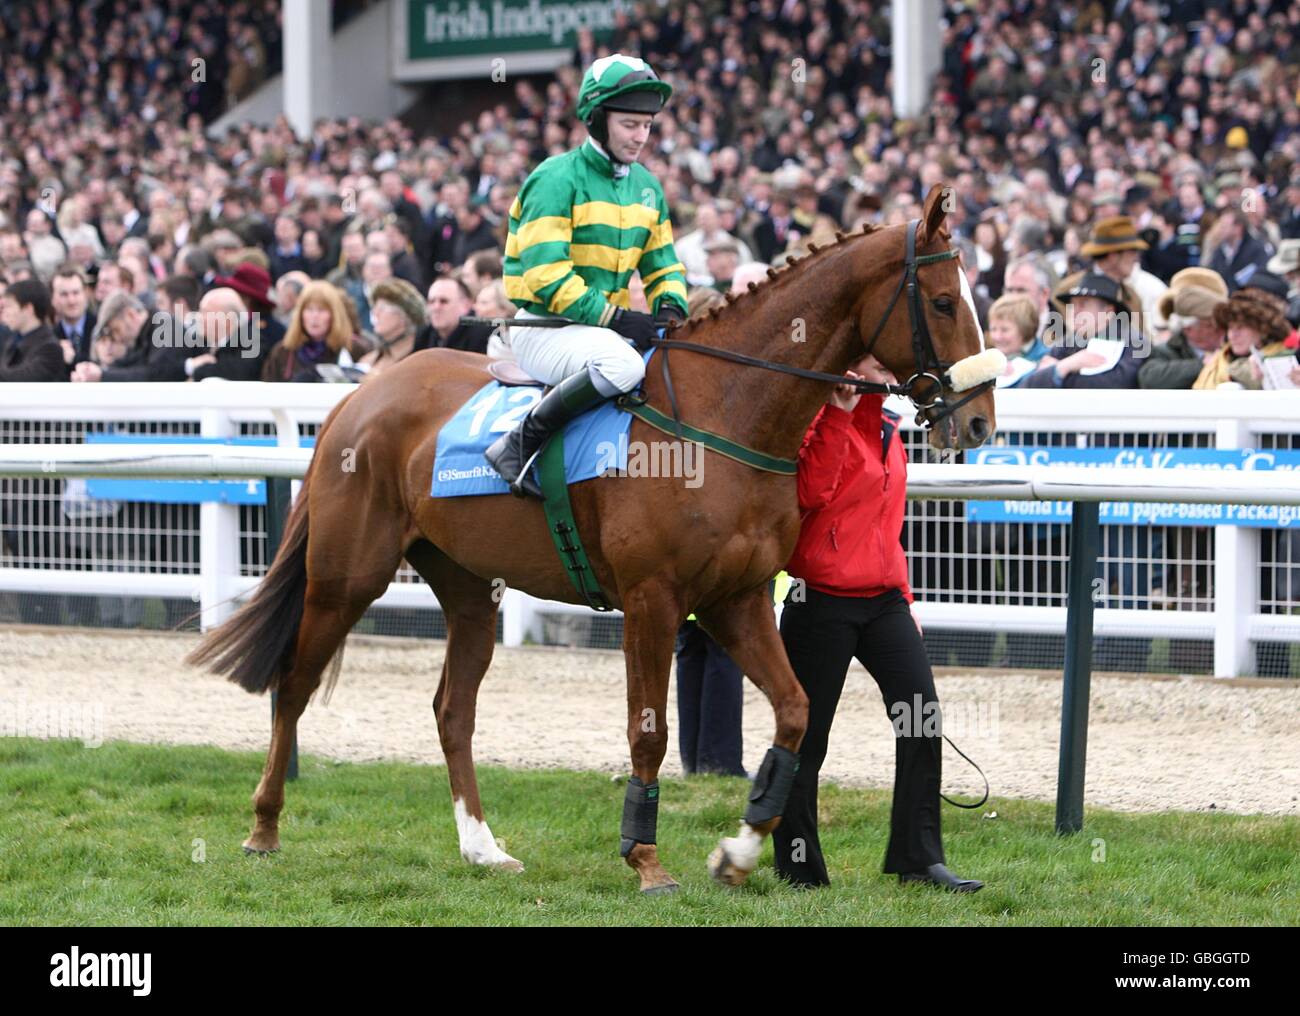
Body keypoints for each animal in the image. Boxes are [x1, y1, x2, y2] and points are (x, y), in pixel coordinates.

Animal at [185, 184, 993, 899]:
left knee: (452, 709)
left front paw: (736, 853)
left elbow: (795, 710)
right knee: (293, 683)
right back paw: (263, 828)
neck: (722, 415)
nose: (980, 418)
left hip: (468, 587)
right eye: (943, 301)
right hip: (346, 574)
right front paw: (646, 861)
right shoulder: (652, 599)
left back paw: (483, 847)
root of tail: (362, 391)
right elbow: (649, 733)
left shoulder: (734, 599)